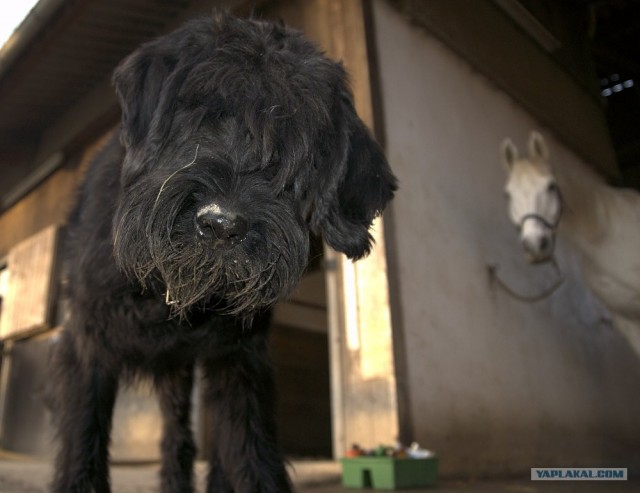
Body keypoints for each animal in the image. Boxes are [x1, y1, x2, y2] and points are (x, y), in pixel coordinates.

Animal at [52, 11, 398, 492]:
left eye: (298, 146)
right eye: (199, 112)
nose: (221, 224)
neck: (166, 297)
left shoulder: (240, 361)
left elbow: (253, 453)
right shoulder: (88, 343)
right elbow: (84, 439)